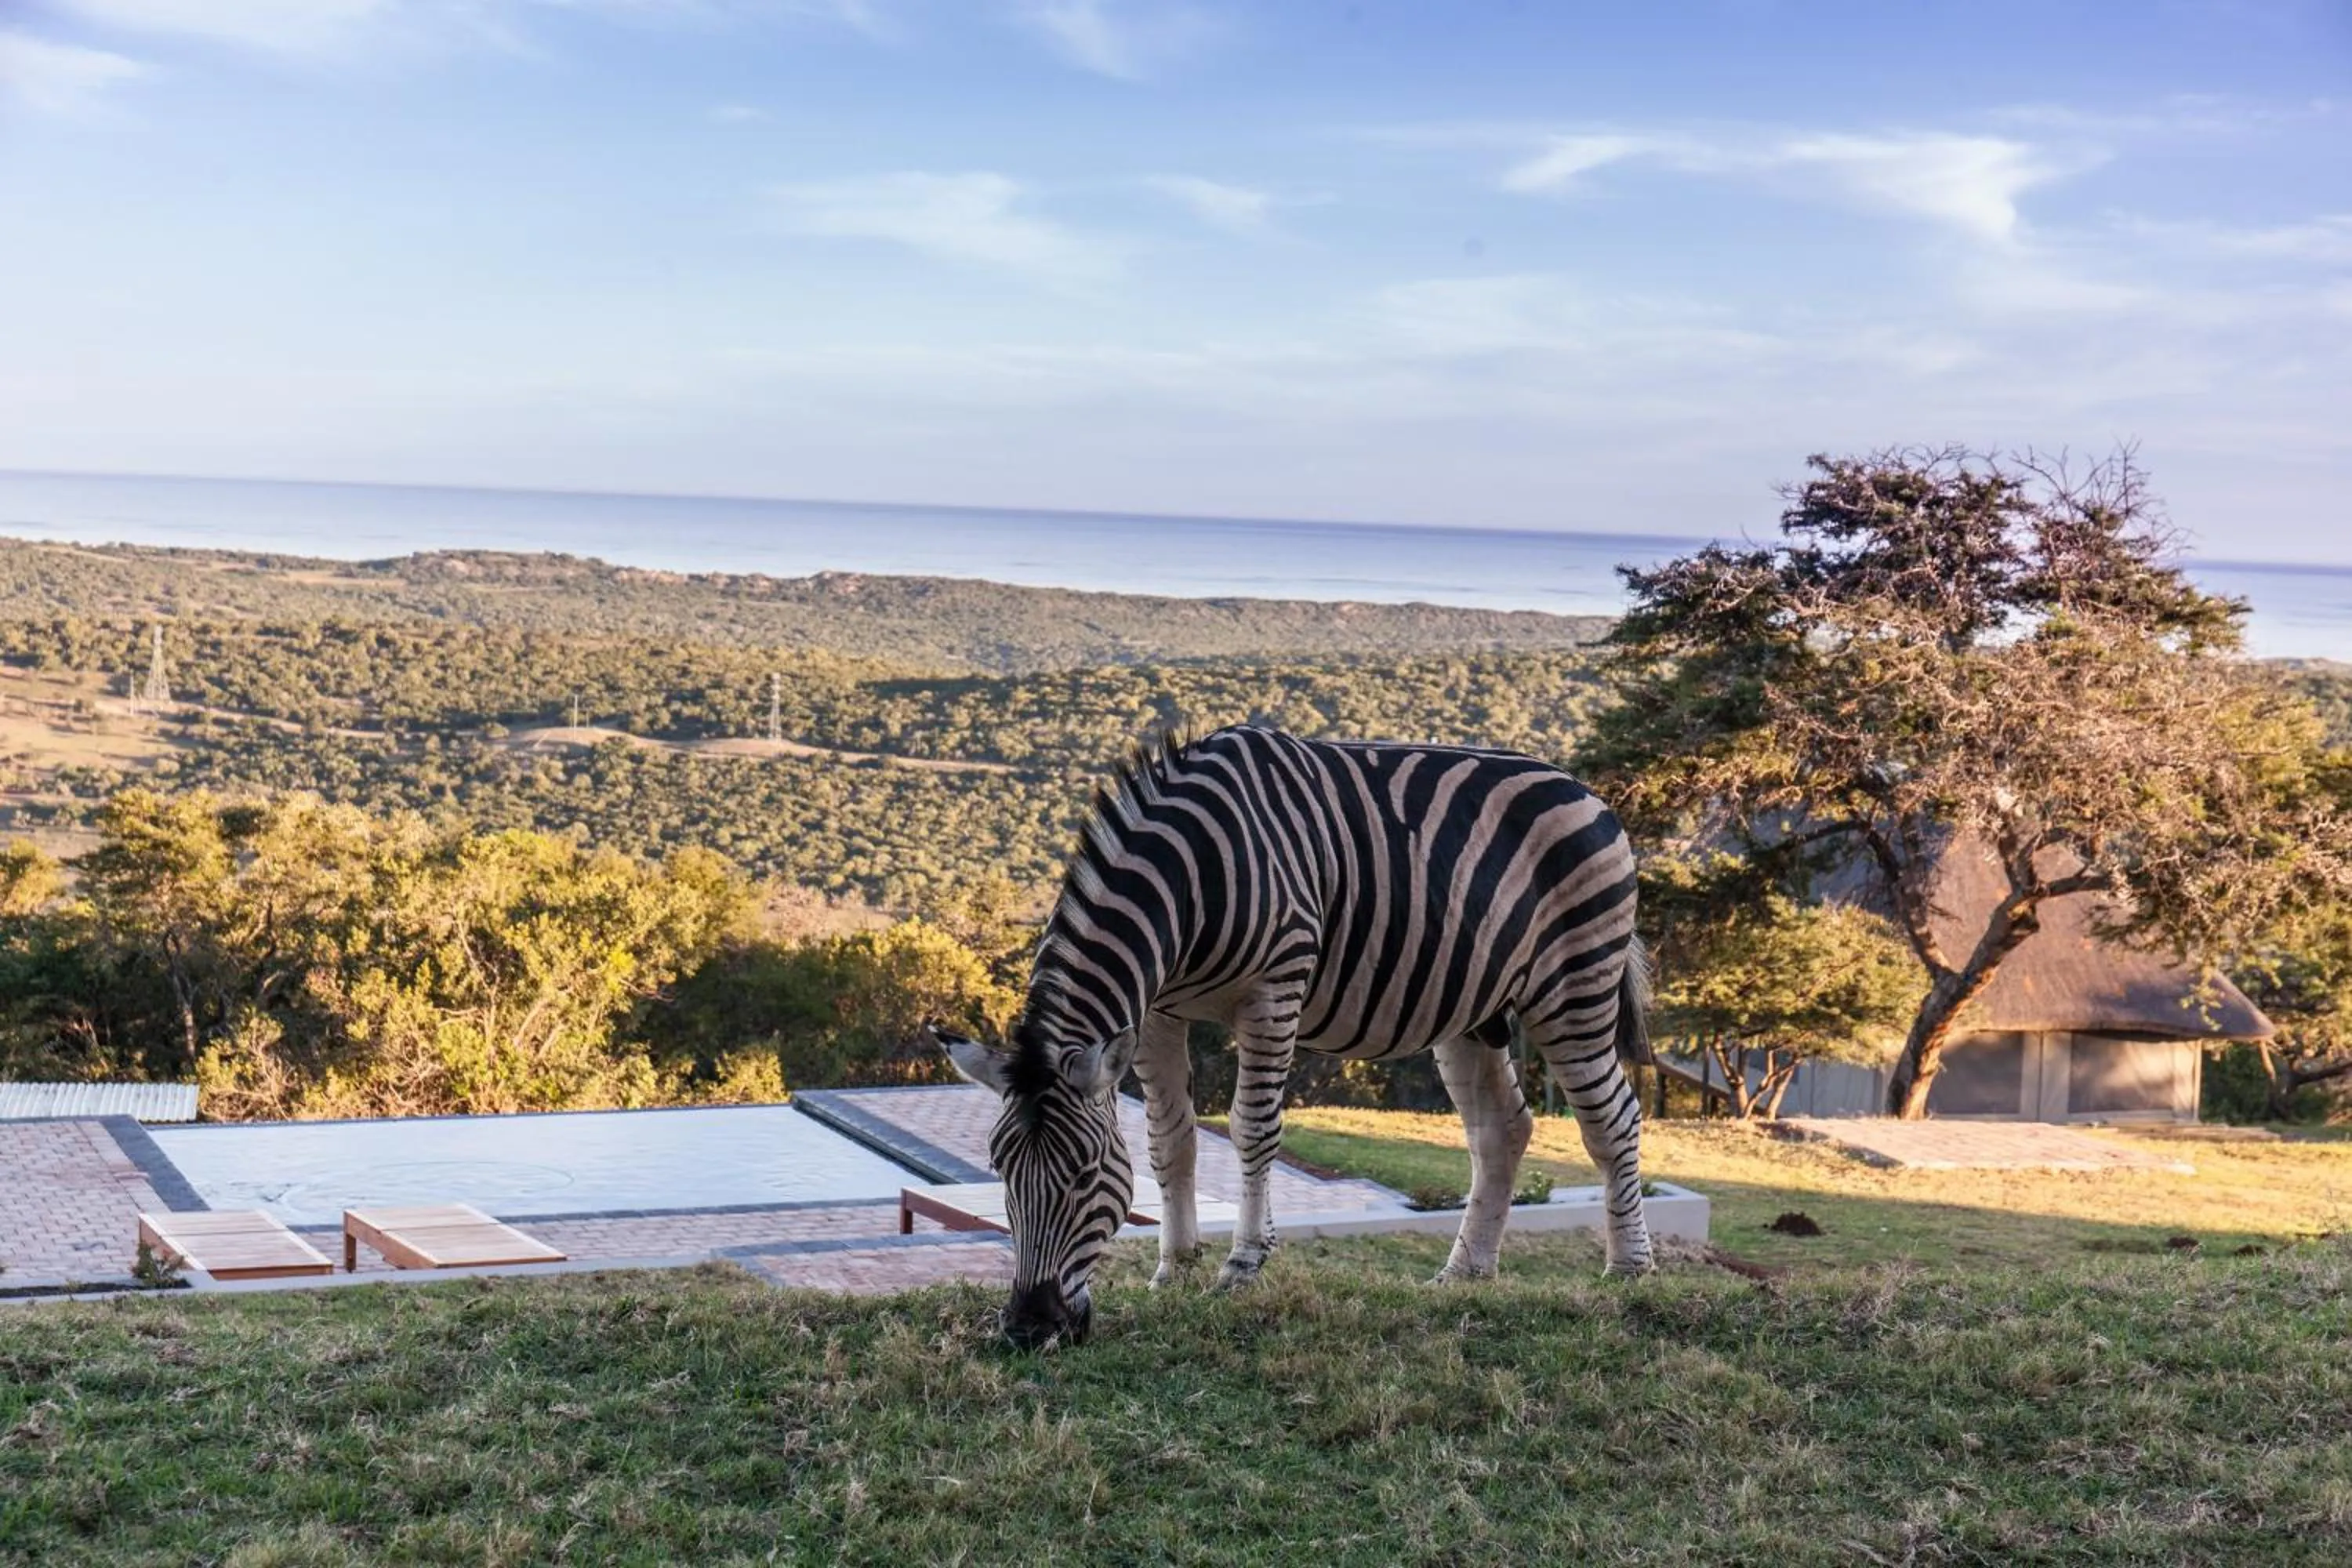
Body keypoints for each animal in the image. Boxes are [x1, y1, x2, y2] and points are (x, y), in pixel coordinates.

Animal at [930, 724, 1653, 1349]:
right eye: (1000, 1168)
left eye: (1083, 1174)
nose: (1029, 1329)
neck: (1189, 878)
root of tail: (1584, 788)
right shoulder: (1158, 1011)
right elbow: (1171, 1140)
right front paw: (1175, 1269)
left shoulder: (1274, 989)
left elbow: (1251, 1128)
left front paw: (1243, 1266)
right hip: (1471, 1010)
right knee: (1502, 1129)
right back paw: (1464, 1273)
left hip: (1572, 986)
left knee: (1614, 1118)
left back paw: (1629, 1272)